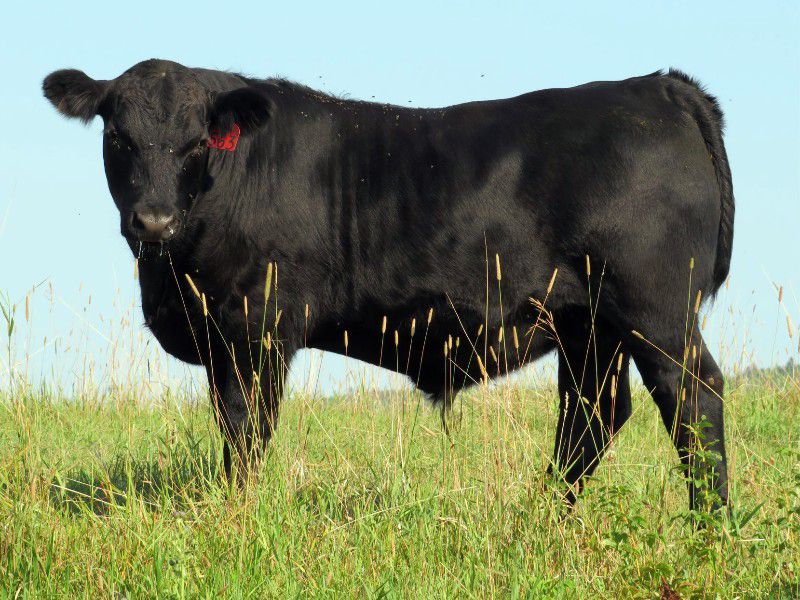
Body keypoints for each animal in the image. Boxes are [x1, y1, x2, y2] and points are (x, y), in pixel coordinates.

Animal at [43, 59, 733, 511]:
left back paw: (710, 526)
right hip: (588, 322)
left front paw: (236, 516)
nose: (154, 219)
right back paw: (541, 517)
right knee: (591, 412)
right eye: (117, 136)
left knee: (691, 395)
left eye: (197, 141)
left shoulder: (255, 330)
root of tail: (658, 85)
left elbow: (245, 431)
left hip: (655, 308)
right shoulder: (219, 340)